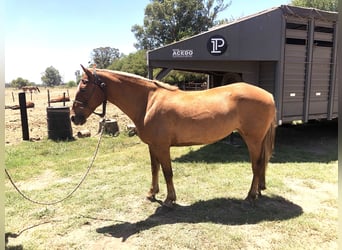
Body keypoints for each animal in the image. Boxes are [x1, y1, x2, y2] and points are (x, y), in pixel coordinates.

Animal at [71, 65, 276, 206]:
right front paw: (152, 193)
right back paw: (258, 192)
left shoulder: (162, 147)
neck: (148, 101)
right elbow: (154, 169)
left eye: (83, 87)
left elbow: (167, 172)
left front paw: (170, 199)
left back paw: (250, 196)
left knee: (257, 165)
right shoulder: (153, 146)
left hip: (253, 139)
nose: (74, 117)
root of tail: (269, 95)